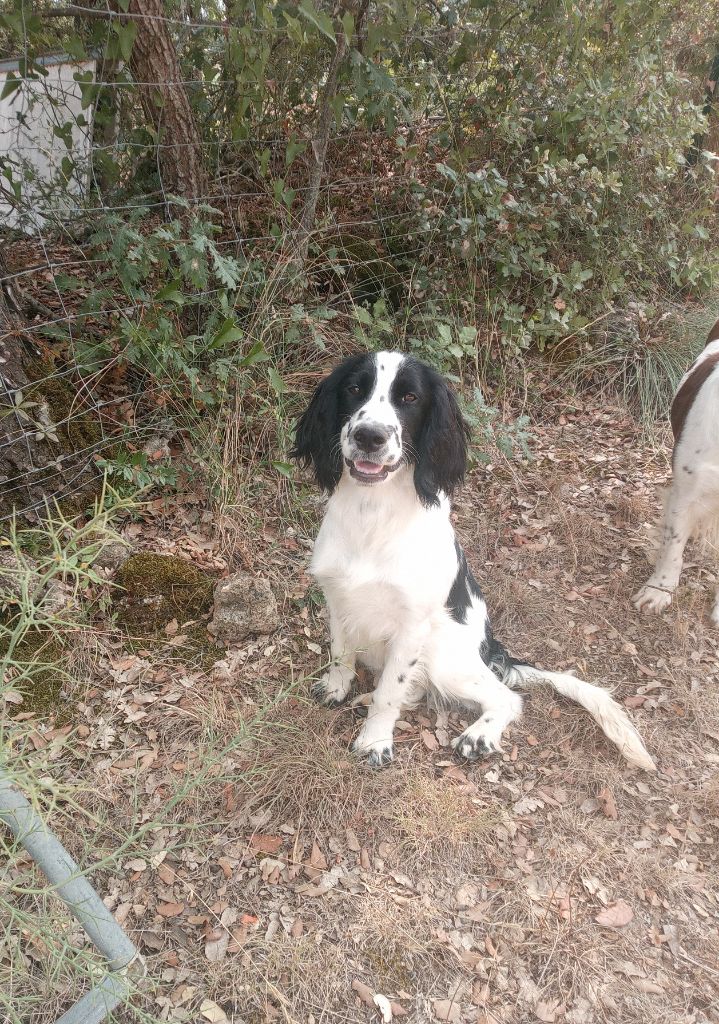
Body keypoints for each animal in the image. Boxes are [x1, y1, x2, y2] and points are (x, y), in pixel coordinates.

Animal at [294, 350, 659, 770]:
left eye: (409, 398)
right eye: (354, 389)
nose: (369, 436)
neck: (373, 513)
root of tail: (492, 650)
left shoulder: (412, 626)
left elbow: (391, 692)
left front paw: (375, 741)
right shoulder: (338, 599)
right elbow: (341, 653)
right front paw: (336, 688)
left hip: (444, 655)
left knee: (506, 696)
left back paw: (478, 735)